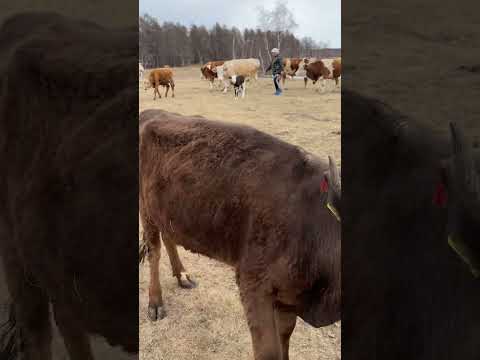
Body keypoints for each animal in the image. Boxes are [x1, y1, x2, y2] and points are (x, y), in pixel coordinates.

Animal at [139, 109, 342, 360]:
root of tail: (152, 113)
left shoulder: (288, 298)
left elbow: (285, 337)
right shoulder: (253, 284)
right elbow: (268, 351)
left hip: (167, 211)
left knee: (168, 237)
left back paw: (182, 276)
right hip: (146, 210)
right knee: (154, 252)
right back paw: (155, 303)